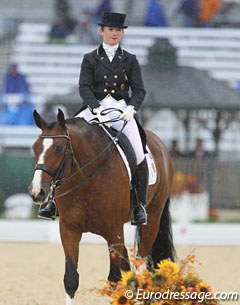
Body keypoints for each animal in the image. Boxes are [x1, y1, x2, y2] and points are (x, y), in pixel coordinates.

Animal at [28, 109, 174, 304]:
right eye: (35, 148)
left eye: (58, 148)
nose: (37, 192)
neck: (86, 176)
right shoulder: (69, 230)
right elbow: (71, 279)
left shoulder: (113, 231)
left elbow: (114, 279)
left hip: (153, 217)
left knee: (143, 261)